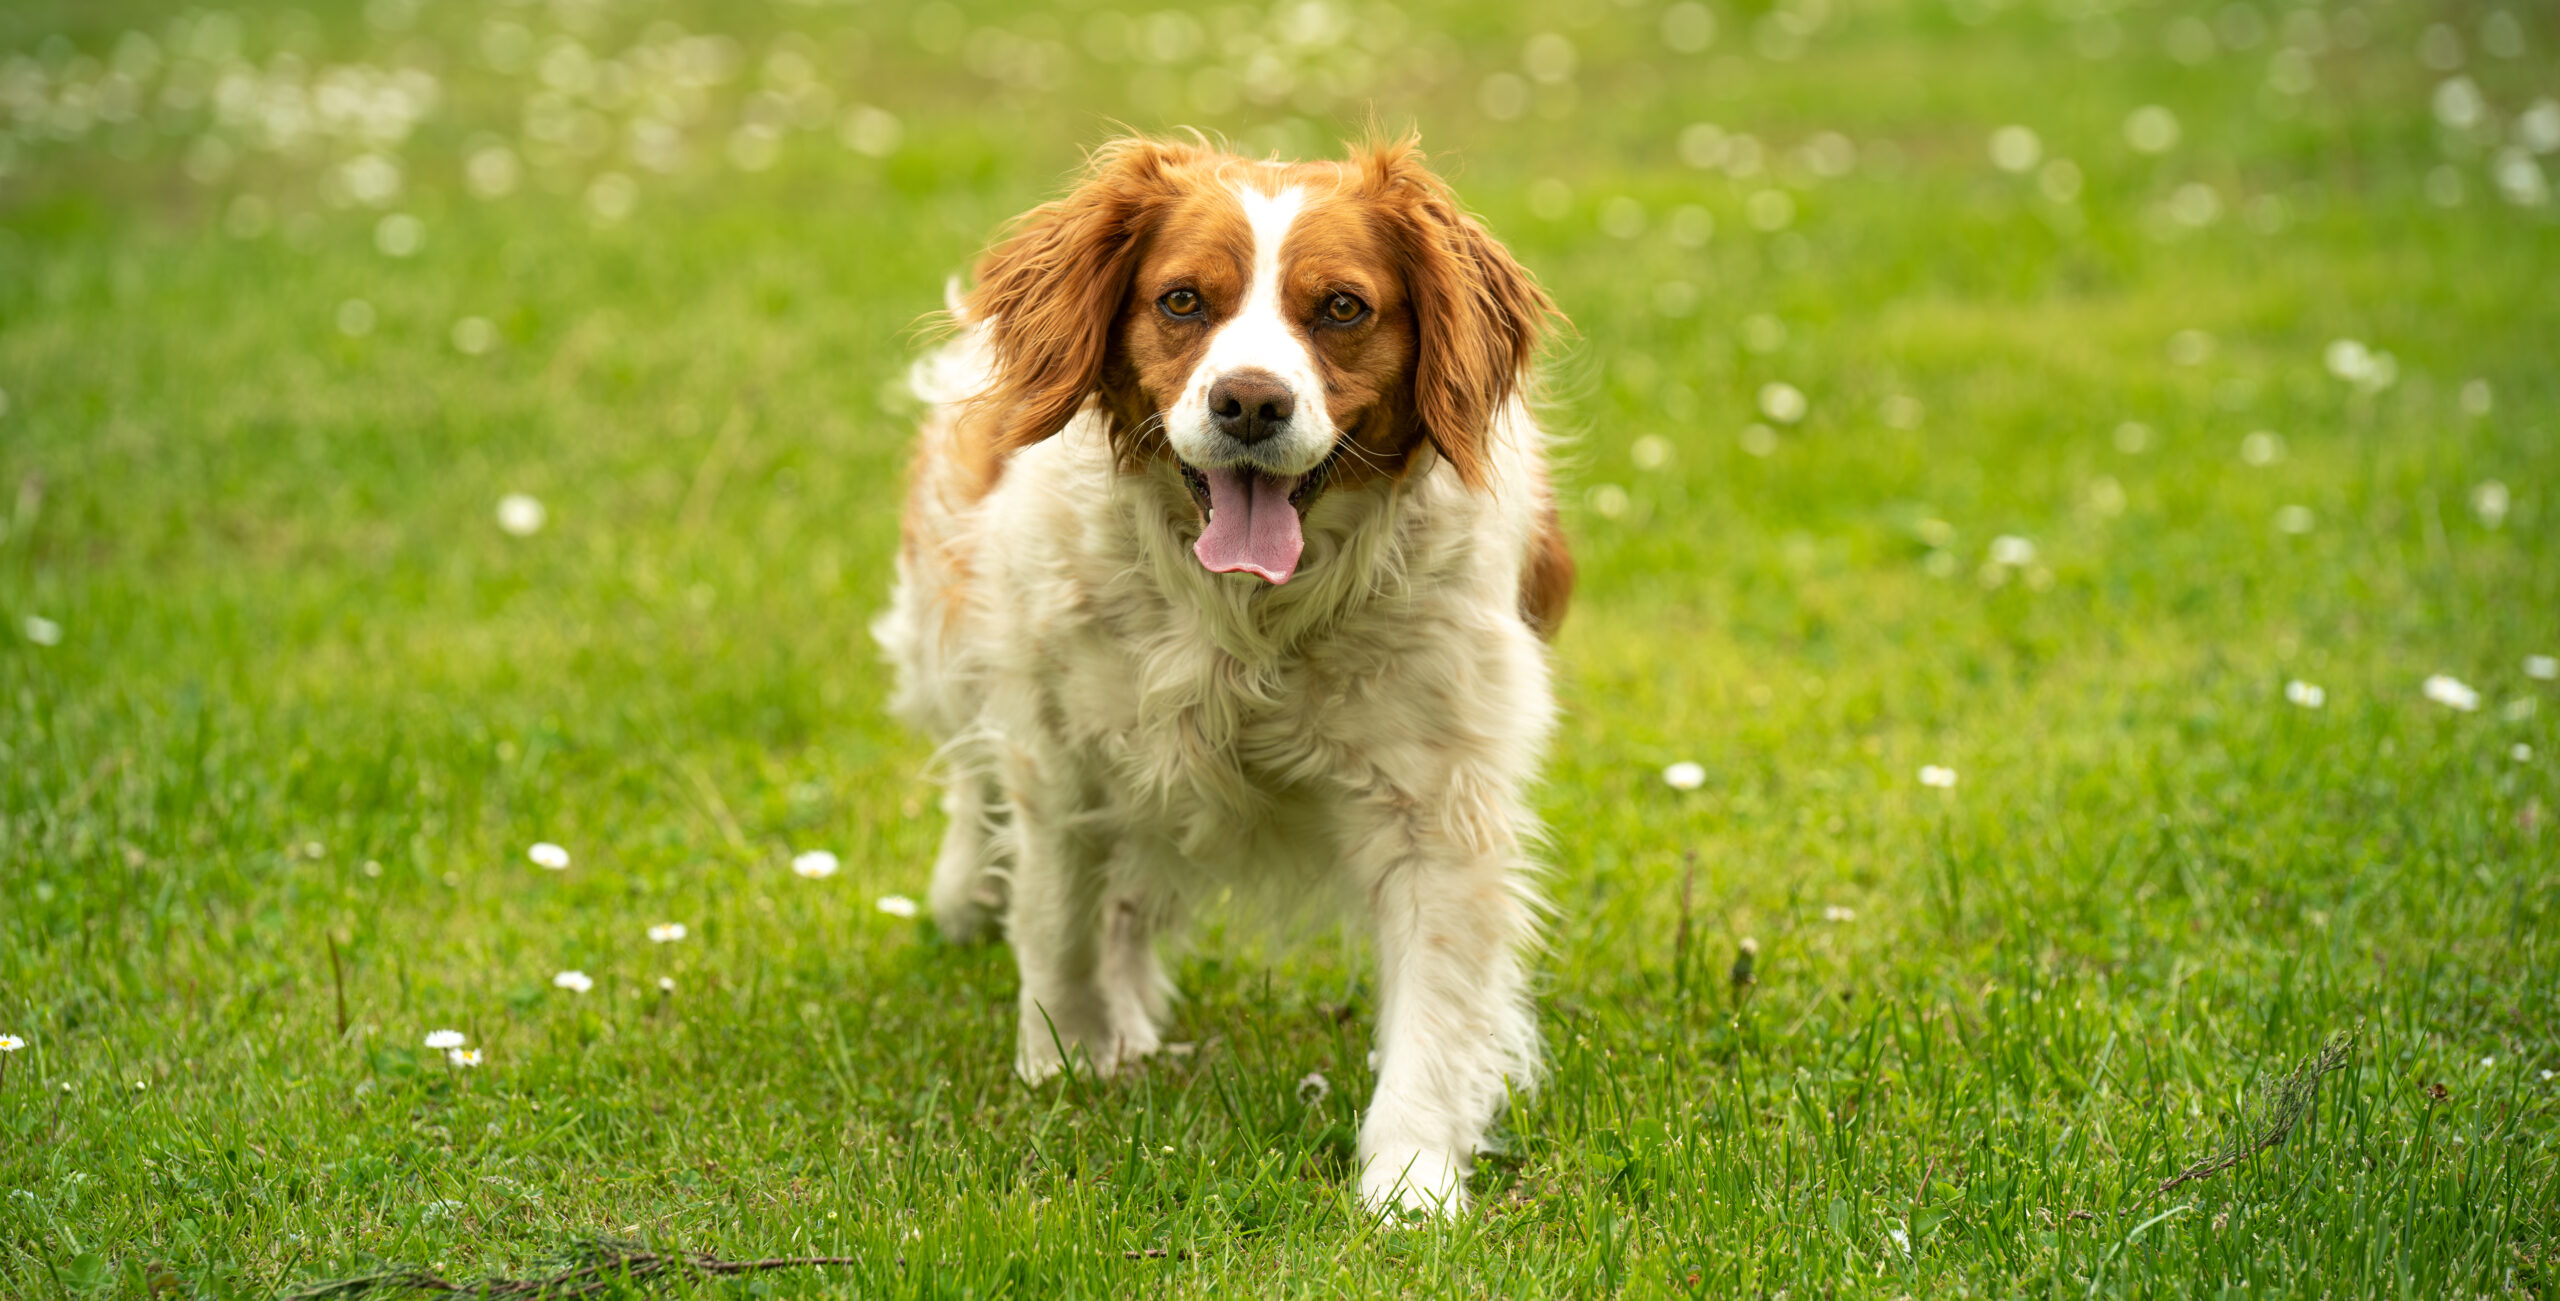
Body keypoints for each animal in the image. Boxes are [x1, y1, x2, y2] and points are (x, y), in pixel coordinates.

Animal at [875, 137, 1556, 1213]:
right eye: (1184, 299)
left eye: (1343, 307)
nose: (1249, 402)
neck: (1245, 617)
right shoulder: (1059, 752)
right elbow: (1058, 918)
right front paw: (1064, 1060)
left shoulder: (1438, 803)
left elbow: (1437, 1009)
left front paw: (1411, 1184)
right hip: (948, 641)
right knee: (977, 780)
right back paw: (969, 892)